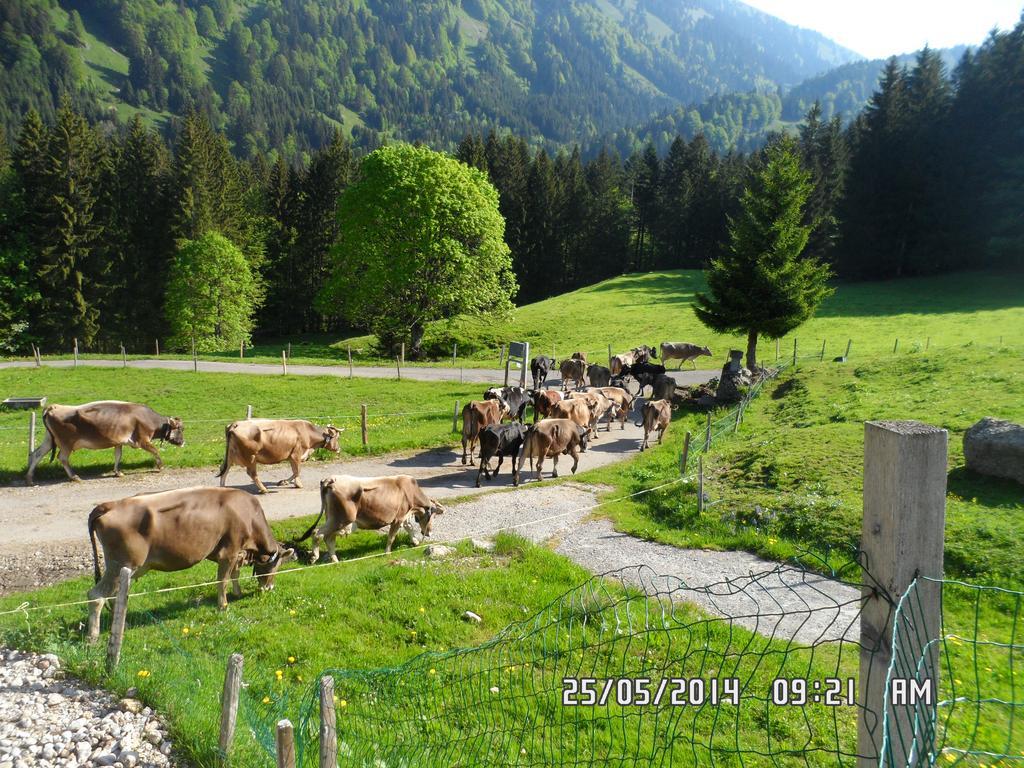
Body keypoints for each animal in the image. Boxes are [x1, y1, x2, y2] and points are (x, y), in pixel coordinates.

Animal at [26, 399, 184, 483]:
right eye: (181, 428)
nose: (183, 442)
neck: (150, 419)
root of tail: (53, 407)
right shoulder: (142, 440)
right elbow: (155, 451)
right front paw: (160, 466)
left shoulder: (119, 442)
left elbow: (118, 456)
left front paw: (117, 472)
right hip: (66, 443)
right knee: (62, 457)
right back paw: (74, 476)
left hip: (49, 439)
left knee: (36, 454)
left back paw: (30, 478)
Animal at [85, 489, 294, 638]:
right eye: (276, 566)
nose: (270, 588)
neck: (249, 514)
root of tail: (108, 505)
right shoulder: (229, 551)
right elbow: (223, 580)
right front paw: (223, 606)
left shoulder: (238, 553)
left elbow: (235, 574)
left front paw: (238, 593)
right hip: (120, 564)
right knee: (96, 596)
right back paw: (92, 636)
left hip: (124, 568)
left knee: (115, 596)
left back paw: (121, 625)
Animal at [294, 473, 442, 561]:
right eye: (433, 517)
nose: (429, 532)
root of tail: (330, 479)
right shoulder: (398, 517)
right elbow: (392, 537)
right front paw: (387, 553)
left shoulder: (403, 516)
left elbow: (409, 527)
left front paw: (415, 542)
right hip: (342, 519)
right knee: (317, 533)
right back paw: (315, 557)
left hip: (333, 518)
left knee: (329, 538)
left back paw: (335, 561)